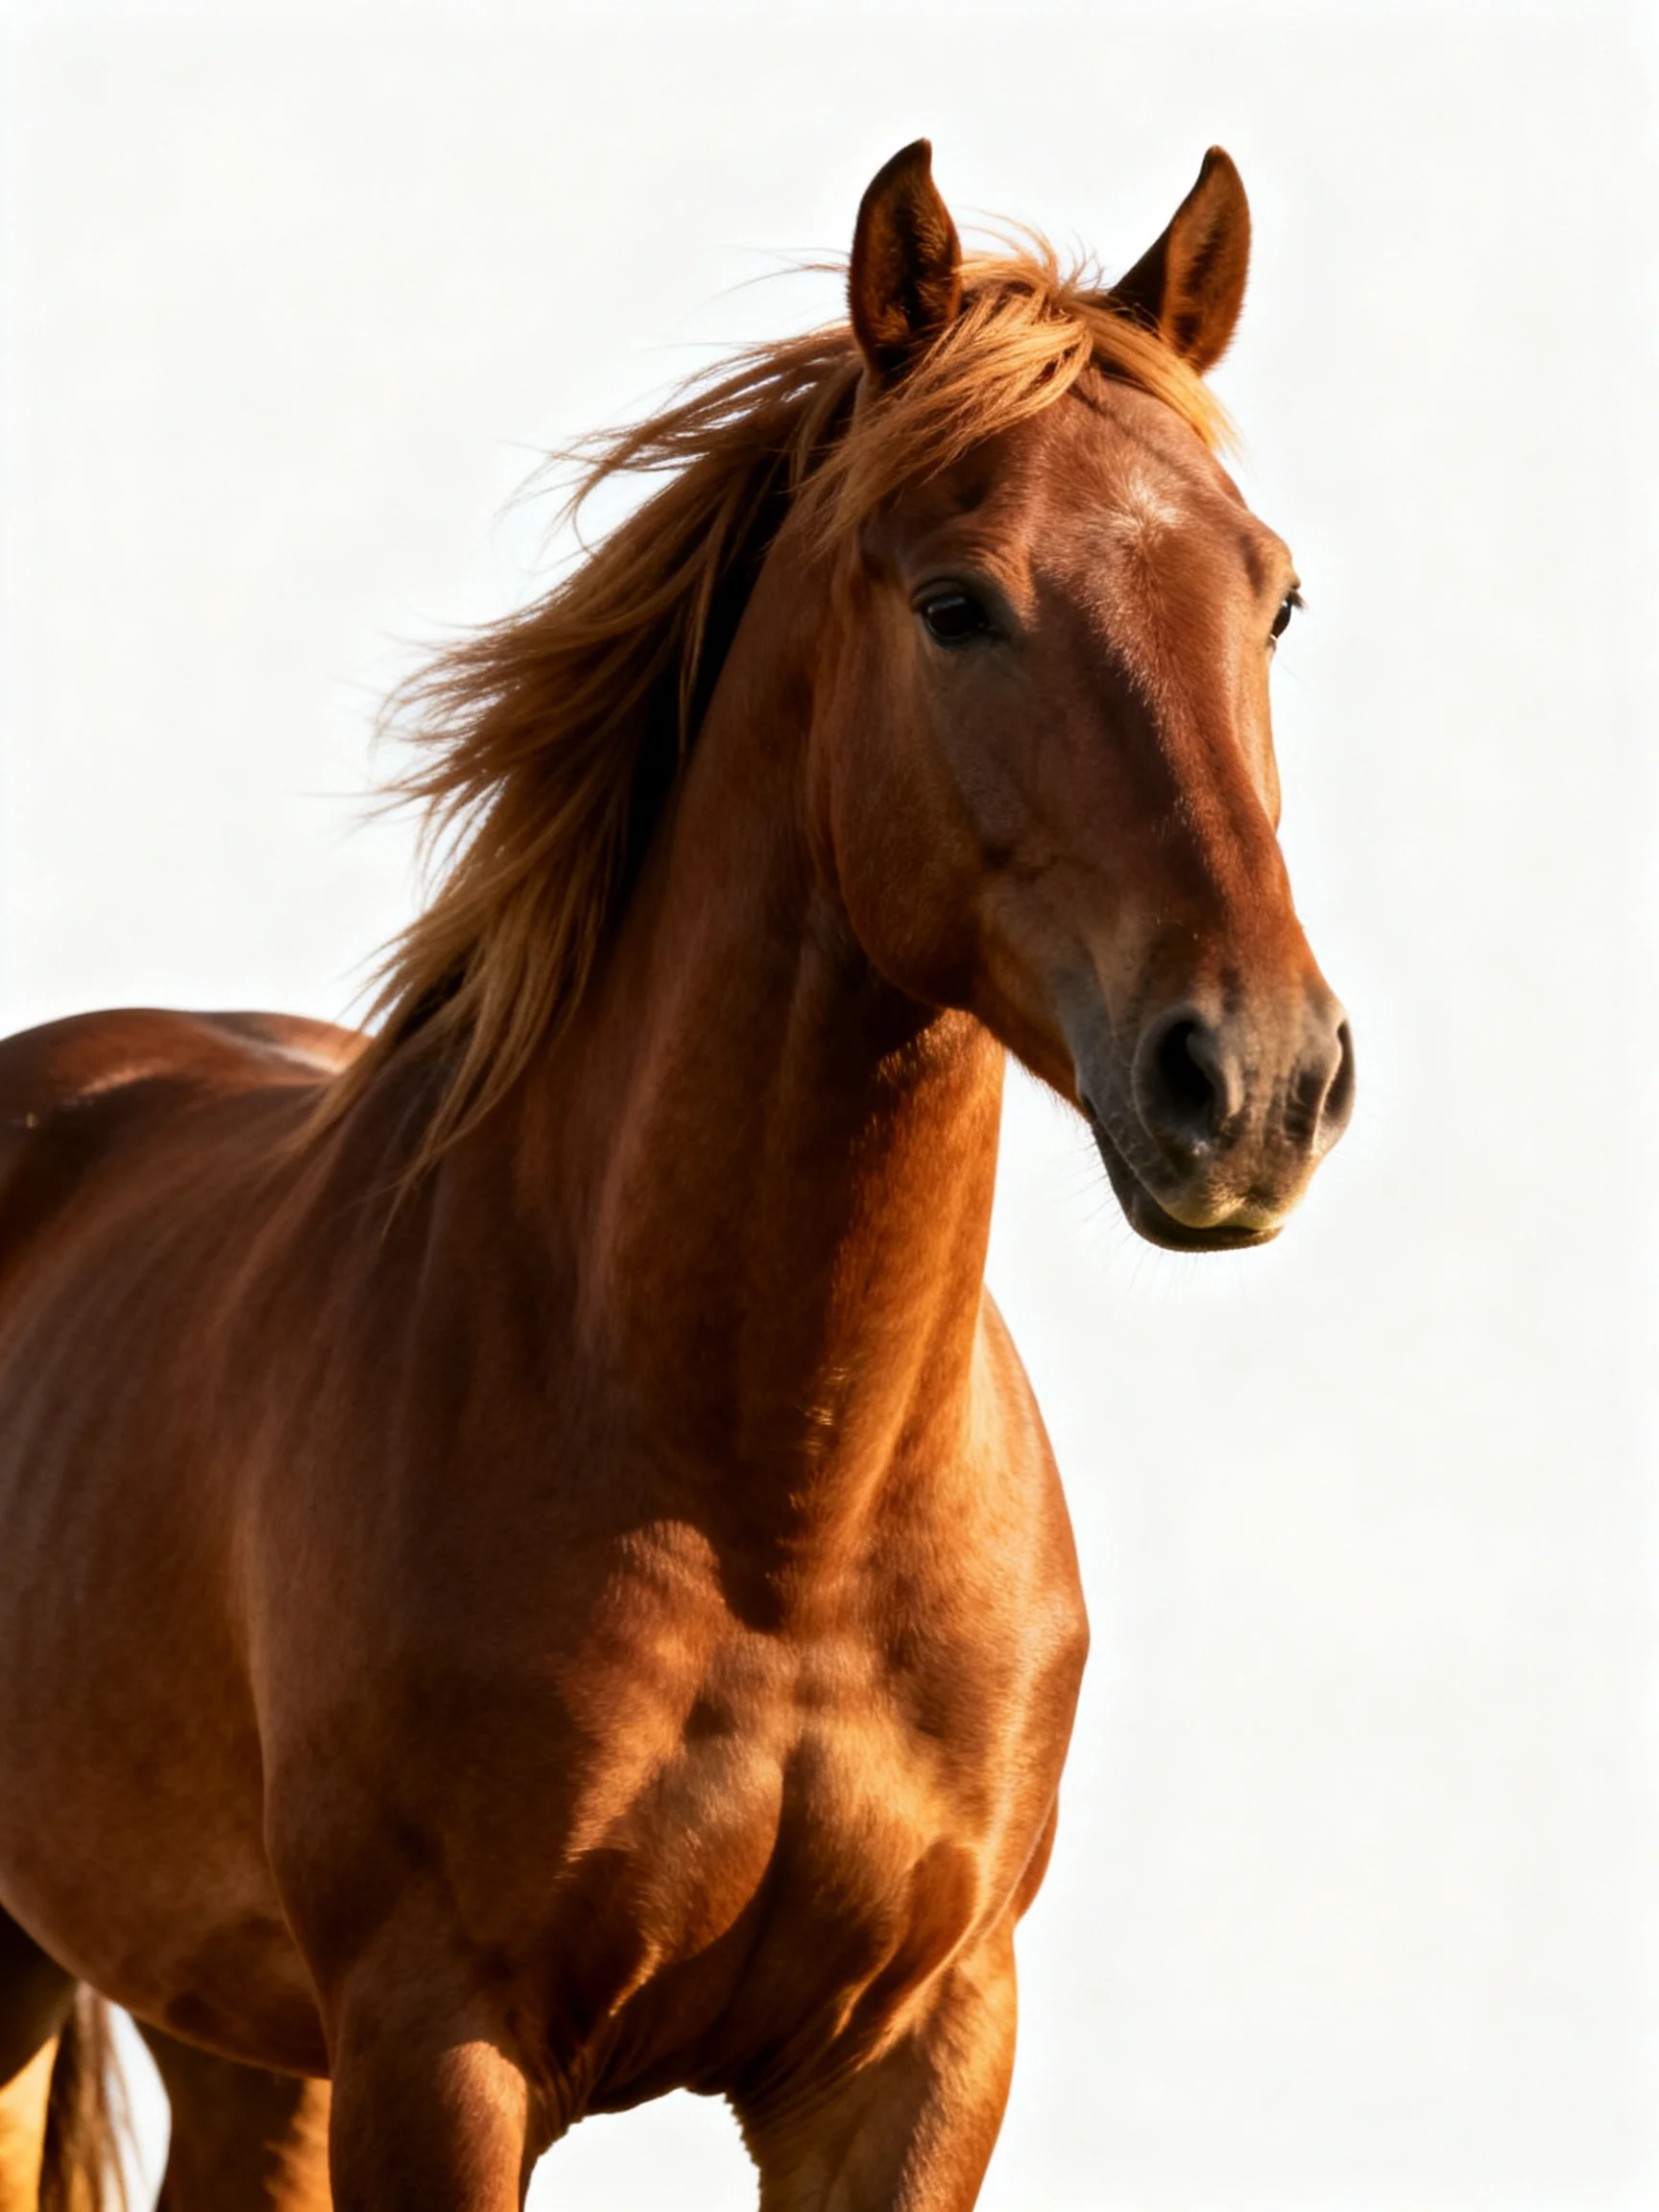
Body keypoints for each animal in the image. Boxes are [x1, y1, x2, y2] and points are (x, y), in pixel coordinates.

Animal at [0, 140, 1352, 2210]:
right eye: (957, 602)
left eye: (1270, 602)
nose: (1257, 1078)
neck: (763, 1497)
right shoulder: (442, 2052)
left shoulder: (913, 2057)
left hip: (237, 2036)